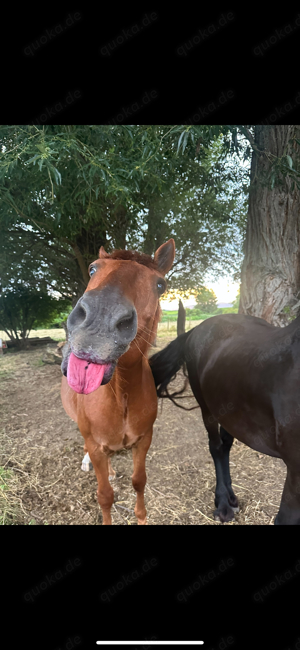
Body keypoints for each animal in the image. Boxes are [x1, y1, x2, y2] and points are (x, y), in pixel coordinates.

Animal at [60, 238, 176, 520]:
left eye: (160, 285)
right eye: (92, 269)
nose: (98, 324)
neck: (120, 395)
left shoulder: (143, 441)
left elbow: (139, 481)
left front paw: (142, 517)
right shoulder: (95, 445)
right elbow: (105, 496)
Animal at [150, 312, 300, 524]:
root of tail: (198, 328)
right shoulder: (295, 474)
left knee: (225, 445)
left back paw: (230, 497)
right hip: (207, 409)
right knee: (217, 448)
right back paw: (223, 504)